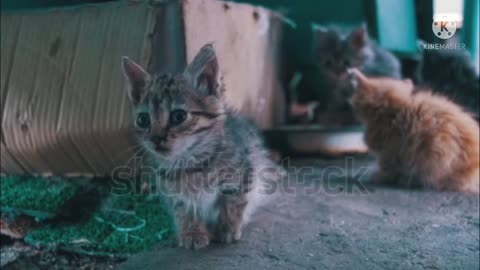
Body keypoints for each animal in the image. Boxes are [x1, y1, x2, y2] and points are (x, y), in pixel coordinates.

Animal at [122, 43, 284, 249]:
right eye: (143, 120)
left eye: (178, 116)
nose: (156, 139)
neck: (191, 162)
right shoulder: (173, 192)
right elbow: (184, 210)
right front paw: (192, 233)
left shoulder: (242, 174)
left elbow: (233, 203)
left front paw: (227, 228)